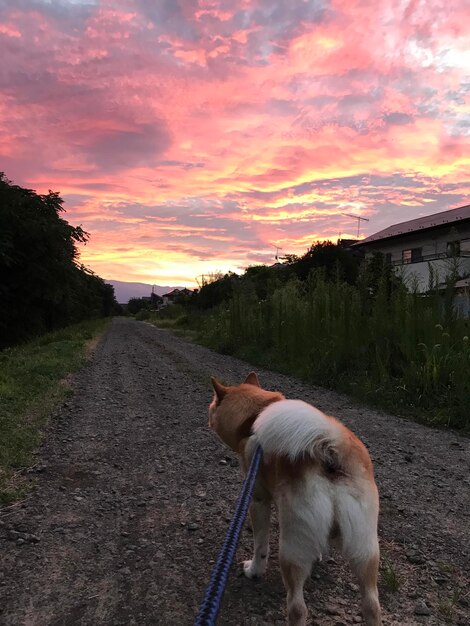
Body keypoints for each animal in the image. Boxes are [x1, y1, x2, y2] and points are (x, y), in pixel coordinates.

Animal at [209, 370, 382, 624]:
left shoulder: (257, 501)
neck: (254, 417)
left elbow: (260, 544)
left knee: (297, 608)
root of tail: (330, 452)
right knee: (371, 604)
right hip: (366, 548)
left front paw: (254, 570)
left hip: (291, 549)